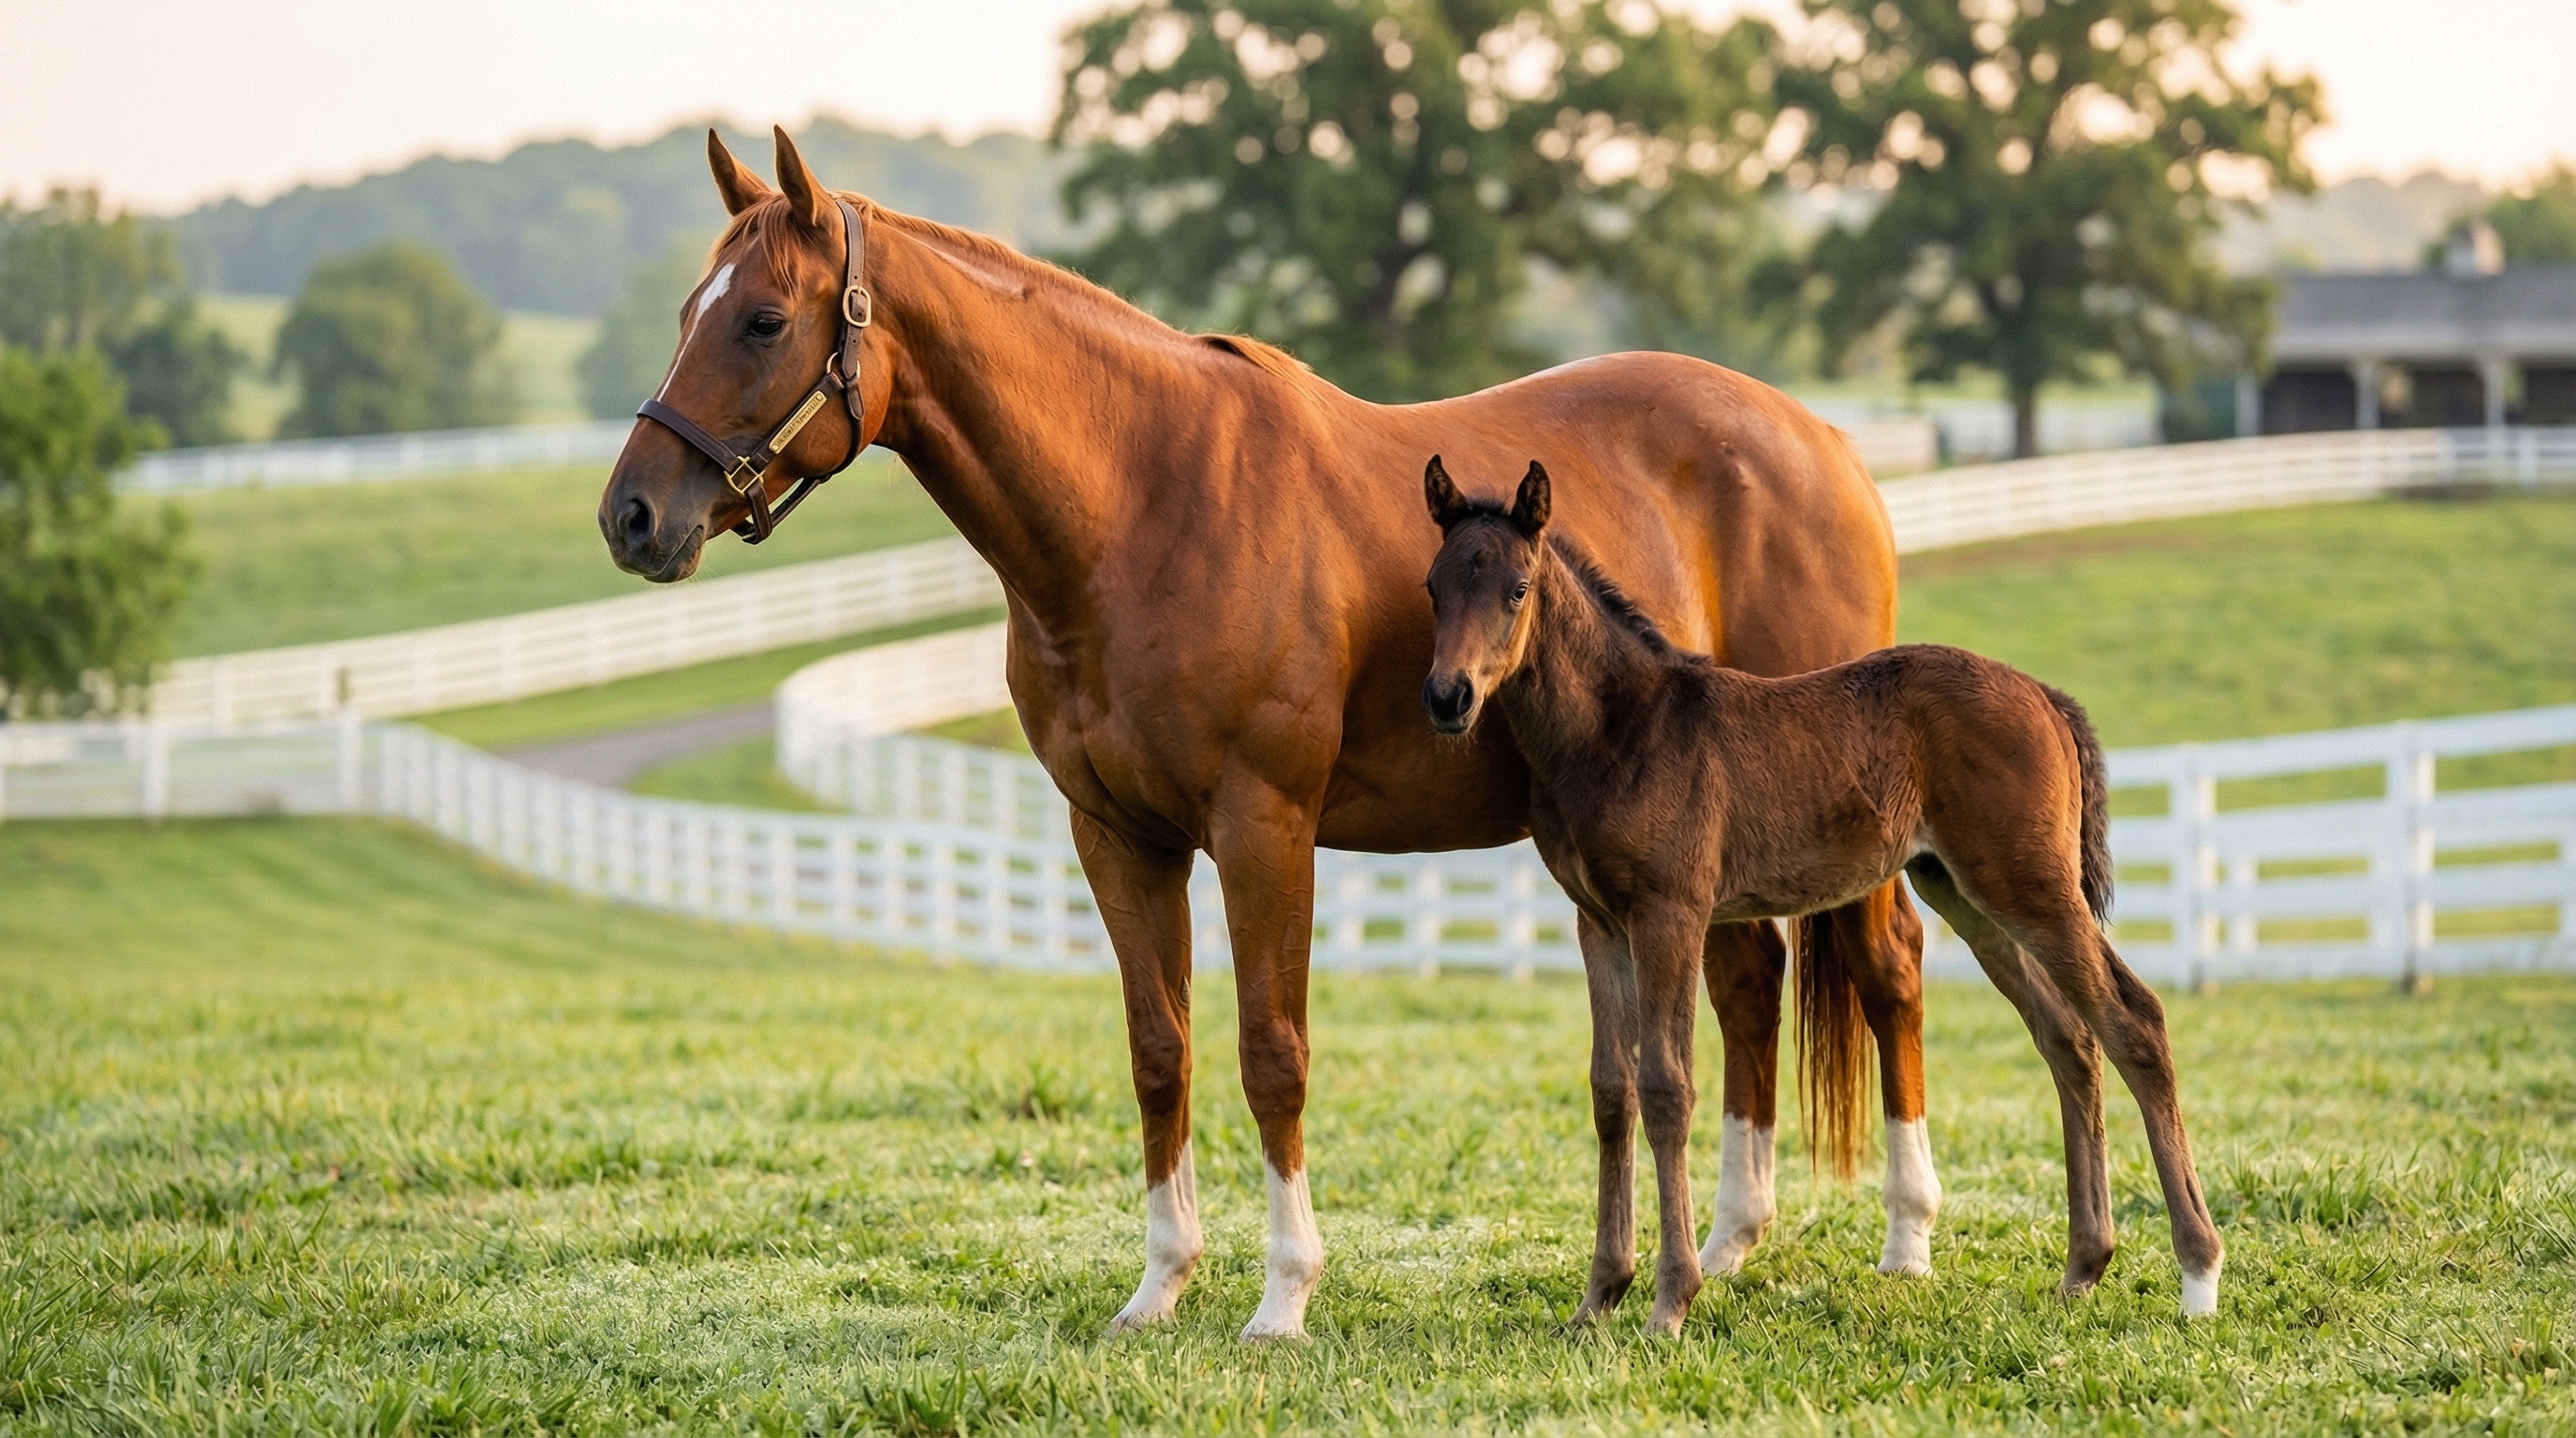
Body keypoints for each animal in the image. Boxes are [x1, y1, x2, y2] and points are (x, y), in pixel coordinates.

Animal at [600, 127, 1938, 1339]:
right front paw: (1158, 1288)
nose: (633, 515)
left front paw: (1283, 1297)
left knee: (1888, 970)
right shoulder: (1116, 837)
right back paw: (1730, 1243)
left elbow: (1270, 1051)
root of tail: (1824, 444)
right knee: (1749, 983)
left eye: (762, 321)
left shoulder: (1263, 828)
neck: (1143, 504)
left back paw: (1906, 1240)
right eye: (691, 310)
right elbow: (1161, 1052)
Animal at [1419, 456, 2224, 1328]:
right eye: (1433, 585)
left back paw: (2198, 1275)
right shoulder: (1597, 921)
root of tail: (2045, 695)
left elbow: (1667, 1085)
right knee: (2069, 1036)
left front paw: (1670, 1302)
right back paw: (2084, 1266)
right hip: (1966, 893)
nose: (1447, 697)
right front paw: (1598, 1298)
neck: (1619, 731)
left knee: (2132, 1019)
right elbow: (1611, 1090)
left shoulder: (1670, 913)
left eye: (1517, 588)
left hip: (2031, 886)